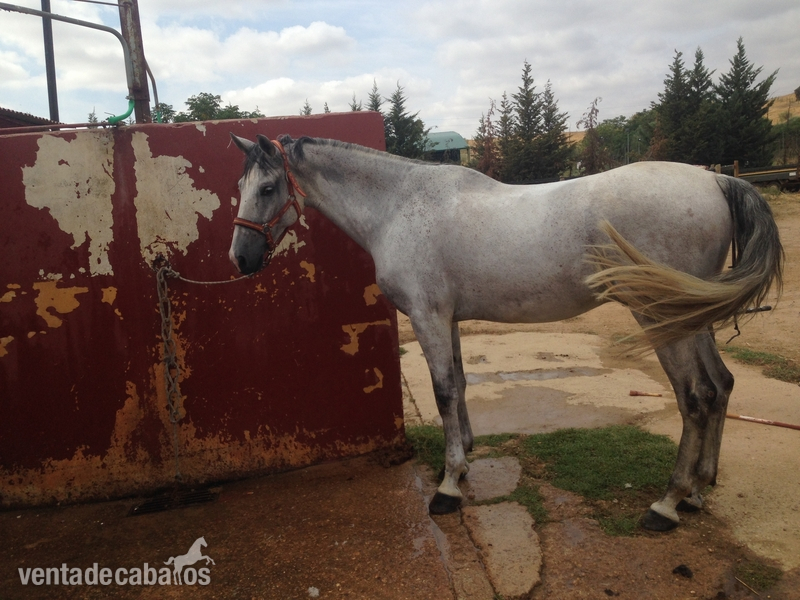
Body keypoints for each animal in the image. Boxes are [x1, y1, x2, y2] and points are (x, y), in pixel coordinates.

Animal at [228, 134, 783, 531]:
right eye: (241, 188)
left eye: (268, 189)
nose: (241, 259)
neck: (398, 207)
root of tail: (715, 182)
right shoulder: (447, 318)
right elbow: (458, 383)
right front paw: (462, 462)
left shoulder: (428, 316)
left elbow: (443, 391)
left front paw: (448, 488)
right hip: (692, 316)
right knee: (721, 386)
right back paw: (697, 491)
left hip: (662, 318)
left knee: (696, 396)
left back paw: (666, 504)